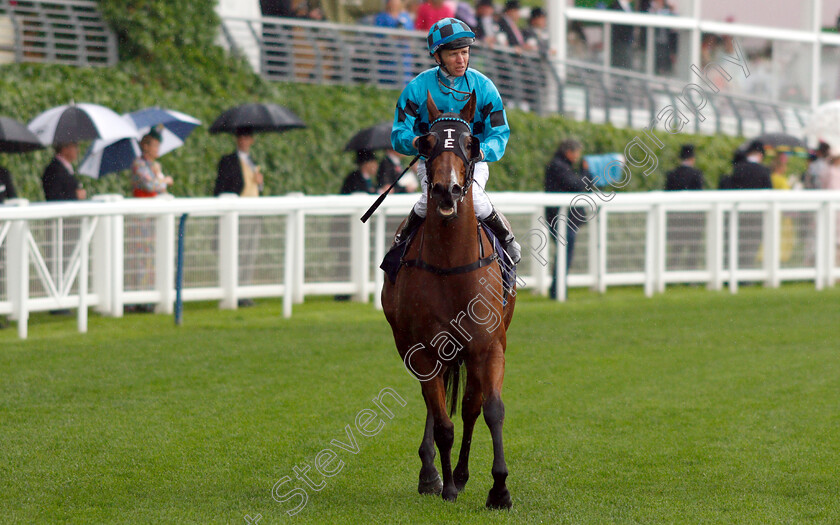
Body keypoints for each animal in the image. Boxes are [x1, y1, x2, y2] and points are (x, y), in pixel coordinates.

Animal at [382, 91, 516, 508]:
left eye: (471, 143)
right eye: (427, 142)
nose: (447, 190)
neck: (451, 267)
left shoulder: (488, 346)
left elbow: (491, 409)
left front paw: (499, 489)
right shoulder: (424, 349)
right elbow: (442, 421)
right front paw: (447, 487)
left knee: (470, 406)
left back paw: (460, 471)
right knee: (436, 401)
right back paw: (432, 474)